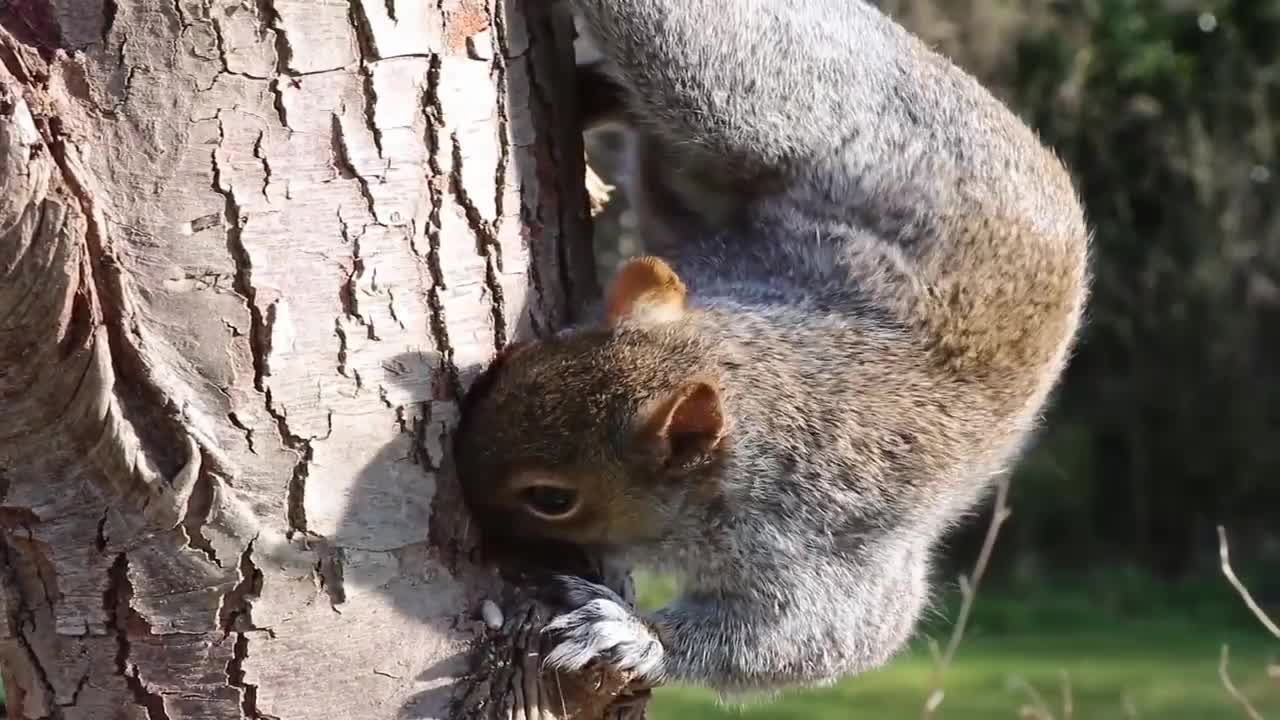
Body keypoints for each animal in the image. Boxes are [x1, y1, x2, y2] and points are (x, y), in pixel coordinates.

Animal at [455, 0, 1085, 696]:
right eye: (534, 353)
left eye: (552, 500)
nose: (459, 485)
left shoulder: (821, 545)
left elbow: (817, 638)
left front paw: (632, 635)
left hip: (750, 97)